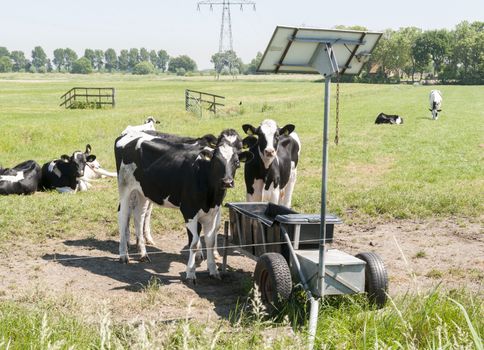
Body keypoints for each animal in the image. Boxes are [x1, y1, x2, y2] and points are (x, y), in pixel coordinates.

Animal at [114, 129, 253, 284]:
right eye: (216, 161)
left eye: (236, 162)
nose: (227, 182)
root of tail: (128, 134)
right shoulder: (189, 211)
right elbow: (194, 243)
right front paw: (191, 273)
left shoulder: (213, 213)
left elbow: (210, 241)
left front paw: (213, 271)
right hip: (125, 187)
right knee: (123, 215)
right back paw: (123, 255)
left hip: (143, 191)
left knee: (139, 215)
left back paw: (143, 254)